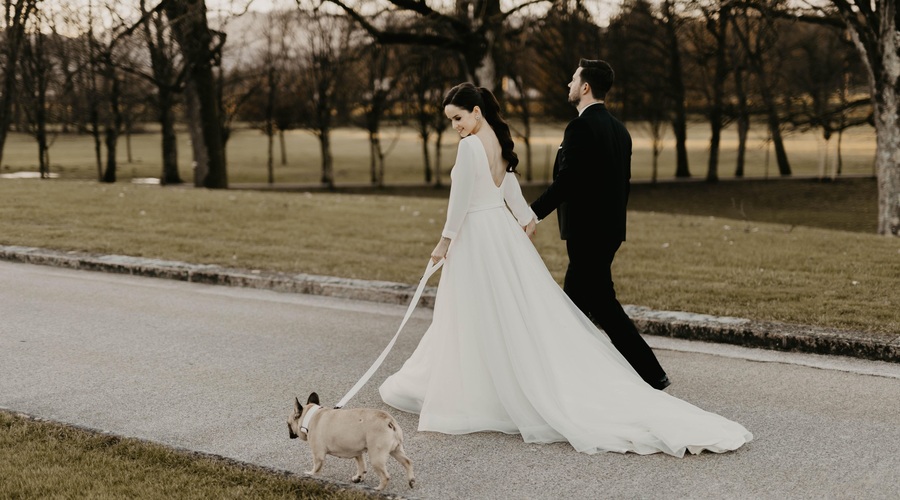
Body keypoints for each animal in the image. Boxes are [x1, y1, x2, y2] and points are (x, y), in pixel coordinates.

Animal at [286, 390, 416, 492]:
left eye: (288, 424)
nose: (289, 434)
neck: (311, 417)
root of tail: (389, 421)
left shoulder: (318, 454)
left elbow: (316, 467)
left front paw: (310, 474)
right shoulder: (357, 452)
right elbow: (361, 465)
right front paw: (359, 477)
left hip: (376, 457)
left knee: (385, 476)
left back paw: (378, 489)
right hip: (396, 450)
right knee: (408, 462)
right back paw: (411, 480)